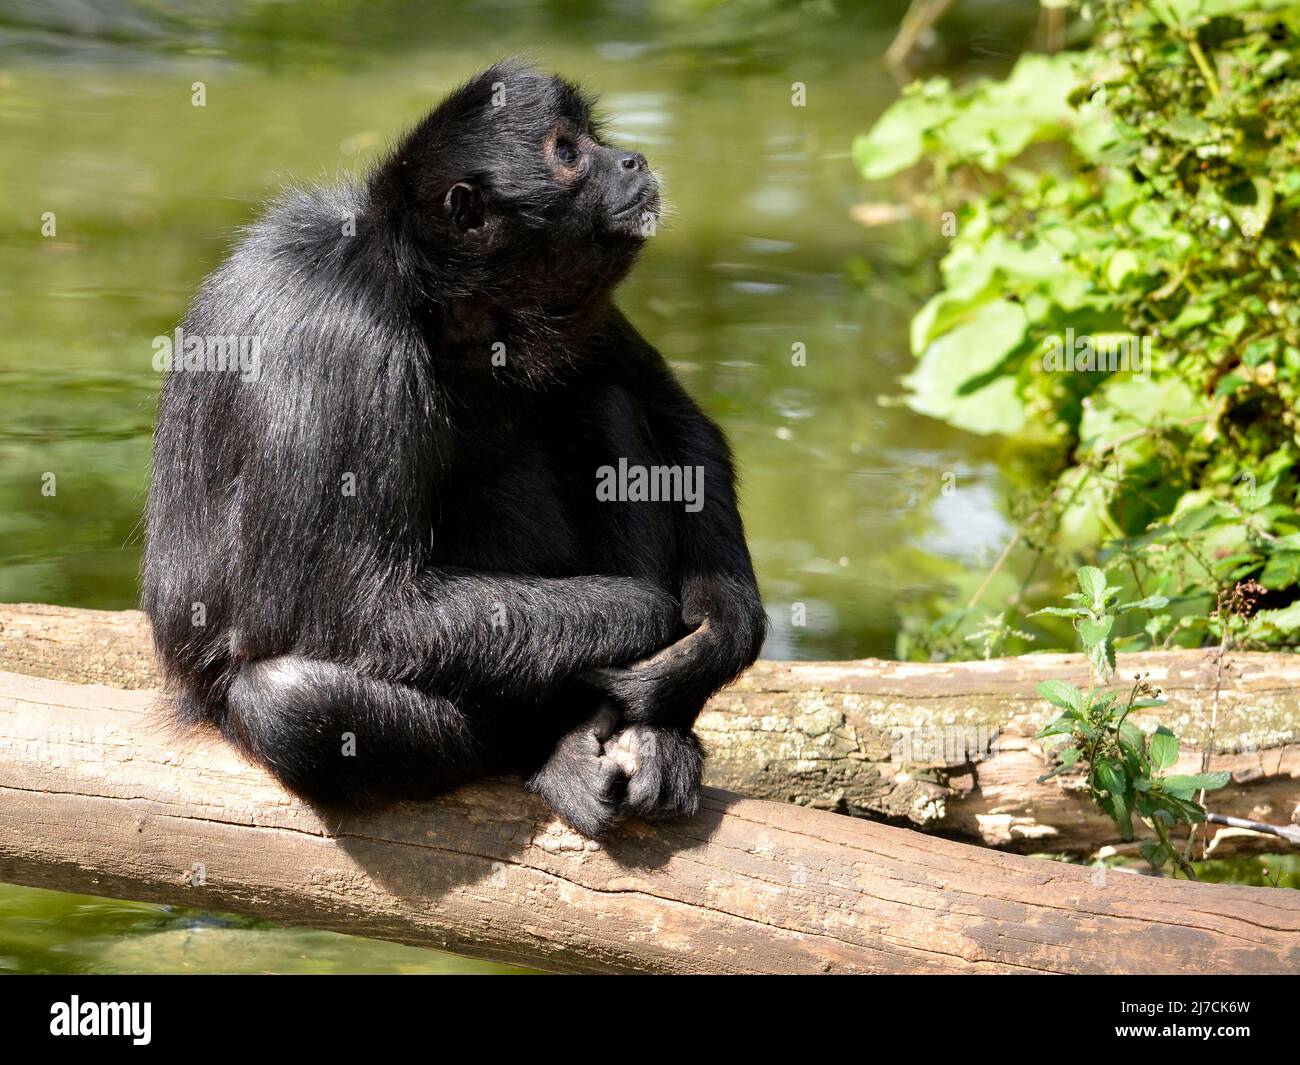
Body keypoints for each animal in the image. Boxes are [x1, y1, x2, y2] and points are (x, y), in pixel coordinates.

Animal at [142, 60, 764, 842]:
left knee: (605, 396)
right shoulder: (348, 344)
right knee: (289, 699)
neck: (422, 292)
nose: (630, 160)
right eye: (568, 153)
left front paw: (715, 639)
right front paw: (652, 617)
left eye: (591, 139)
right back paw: (559, 741)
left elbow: (682, 424)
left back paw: (649, 736)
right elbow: (354, 612)